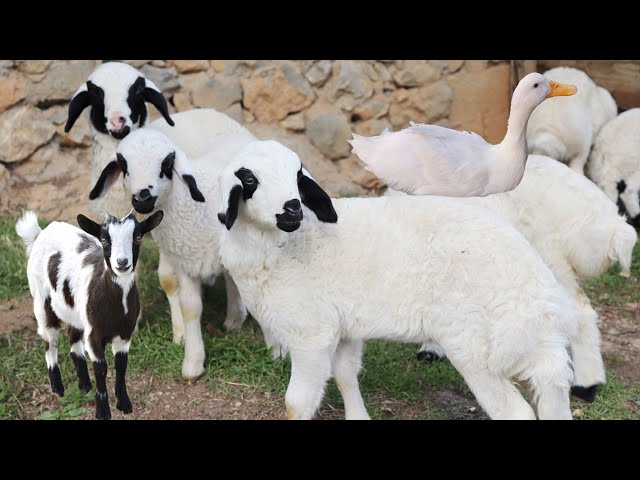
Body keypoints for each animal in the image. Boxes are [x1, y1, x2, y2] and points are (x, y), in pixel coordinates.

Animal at [15, 209, 164, 420]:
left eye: (137, 237)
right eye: (104, 240)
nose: (122, 263)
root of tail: (41, 232)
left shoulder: (125, 333)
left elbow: (121, 365)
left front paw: (124, 404)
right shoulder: (94, 334)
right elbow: (101, 368)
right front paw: (103, 411)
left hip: (76, 311)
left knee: (72, 336)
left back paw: (84, 384)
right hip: (41, 299)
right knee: (49, 338)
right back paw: (58, 387)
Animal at [88, 128, 256, 380]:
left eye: (166, 164)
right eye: (124, 166)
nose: (142, 197)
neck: (194, 207)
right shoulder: (185, 261)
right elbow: (190, 308)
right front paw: (193, 362)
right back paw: (234, 319)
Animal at [216, 140, 578, 420]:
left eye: (297, 175)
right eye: (249, 179)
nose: (293, 209)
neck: (287, 246)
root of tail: (539, 296)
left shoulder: (311, 334)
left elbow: (297, 404)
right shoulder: (342, 328)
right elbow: (346, 374)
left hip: (478, 350)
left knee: (514, 412)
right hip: (538, 350)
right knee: (554, 396)